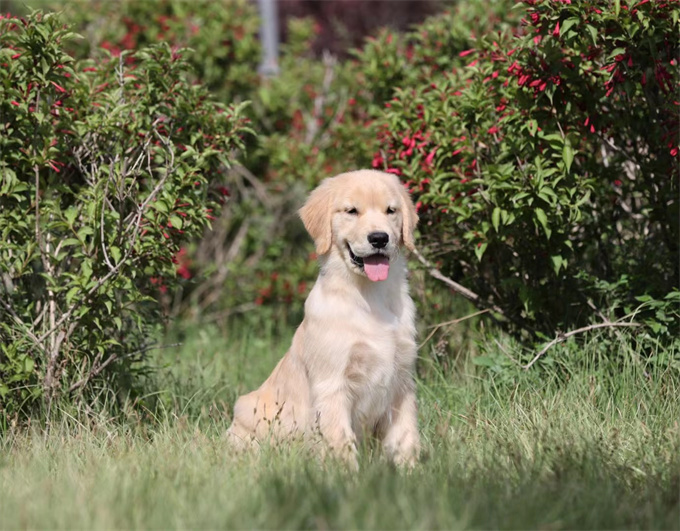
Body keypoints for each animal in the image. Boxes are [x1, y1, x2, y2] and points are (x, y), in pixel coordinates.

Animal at [228, 168, 420, 468]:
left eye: (391, 210)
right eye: (351, 211)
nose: (379, 238)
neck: (369, 294)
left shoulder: (401, 380)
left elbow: (406, 436)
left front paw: (412, 473)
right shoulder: (333, 384)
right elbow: (341, 440)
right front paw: (348, 476)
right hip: (247, 415)